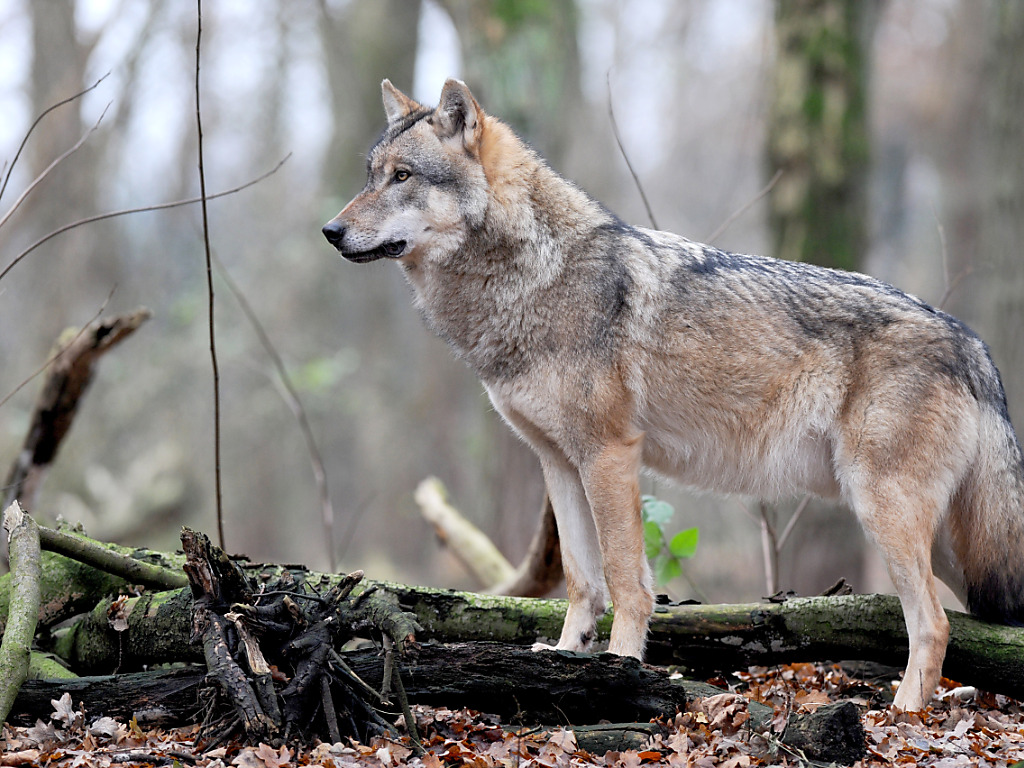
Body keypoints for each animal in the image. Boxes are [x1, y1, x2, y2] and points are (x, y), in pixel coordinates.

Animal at [323, 79, 1024, 716]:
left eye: (402, 176)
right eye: (369, 175)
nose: (329, 230)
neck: (533, 277)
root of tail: (974, 343)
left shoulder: (610, 455)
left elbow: (626, 582)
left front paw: (620, 670)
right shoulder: (559, 463)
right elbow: (581, 580)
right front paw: (566, 658)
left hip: (886, 511)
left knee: (933, 623)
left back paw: (903, 716)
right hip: (943, 541)